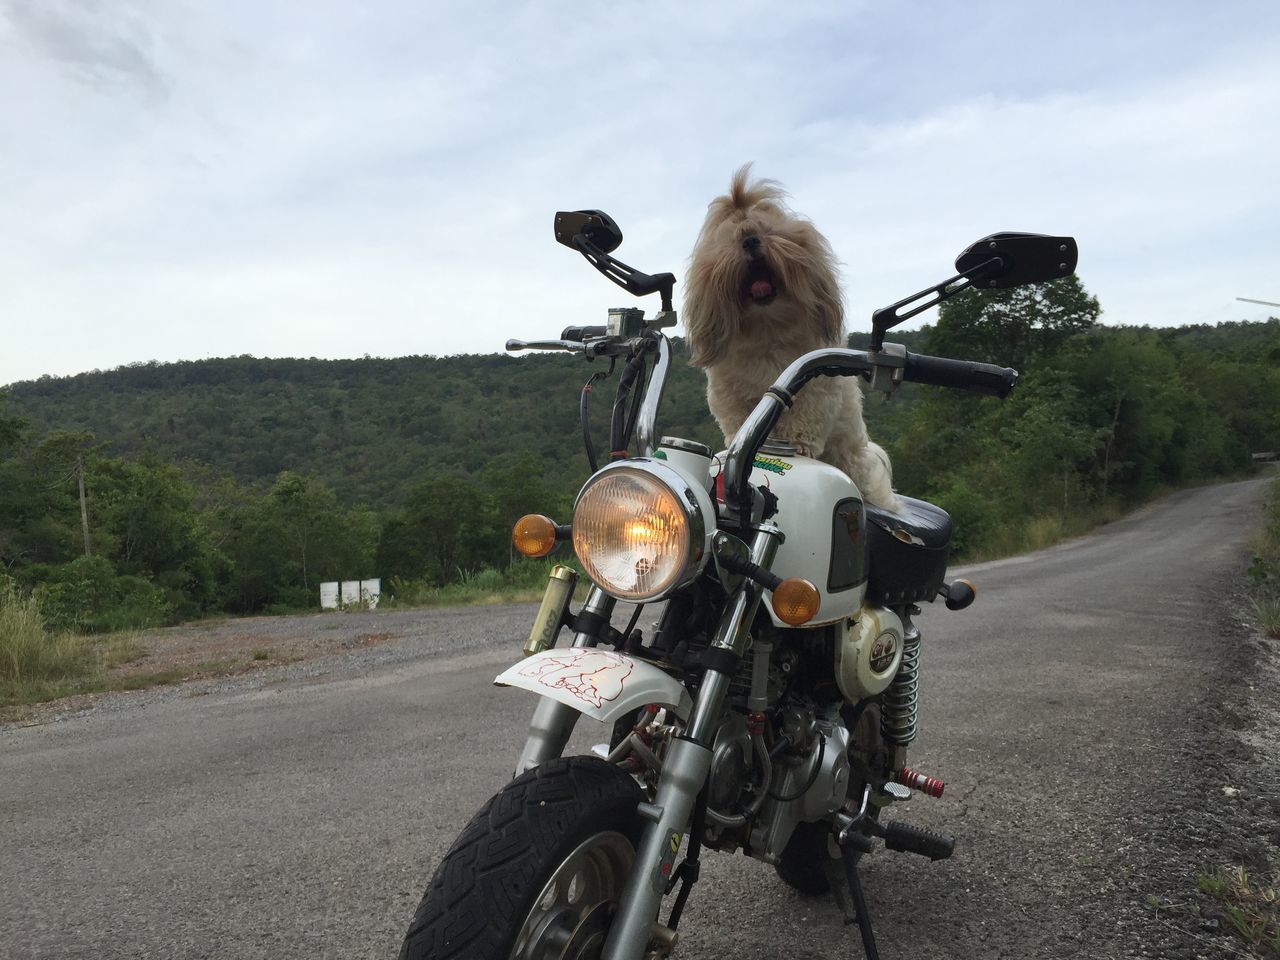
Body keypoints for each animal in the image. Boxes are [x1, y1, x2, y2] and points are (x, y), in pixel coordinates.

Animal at [680, 165, 901, 512]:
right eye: (732, 238)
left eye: (768, 231)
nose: (750, 240)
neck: (767, 329)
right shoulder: (731, 397)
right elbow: (738, 425)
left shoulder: (815, 390)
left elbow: (803, 420)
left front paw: (796, 447)